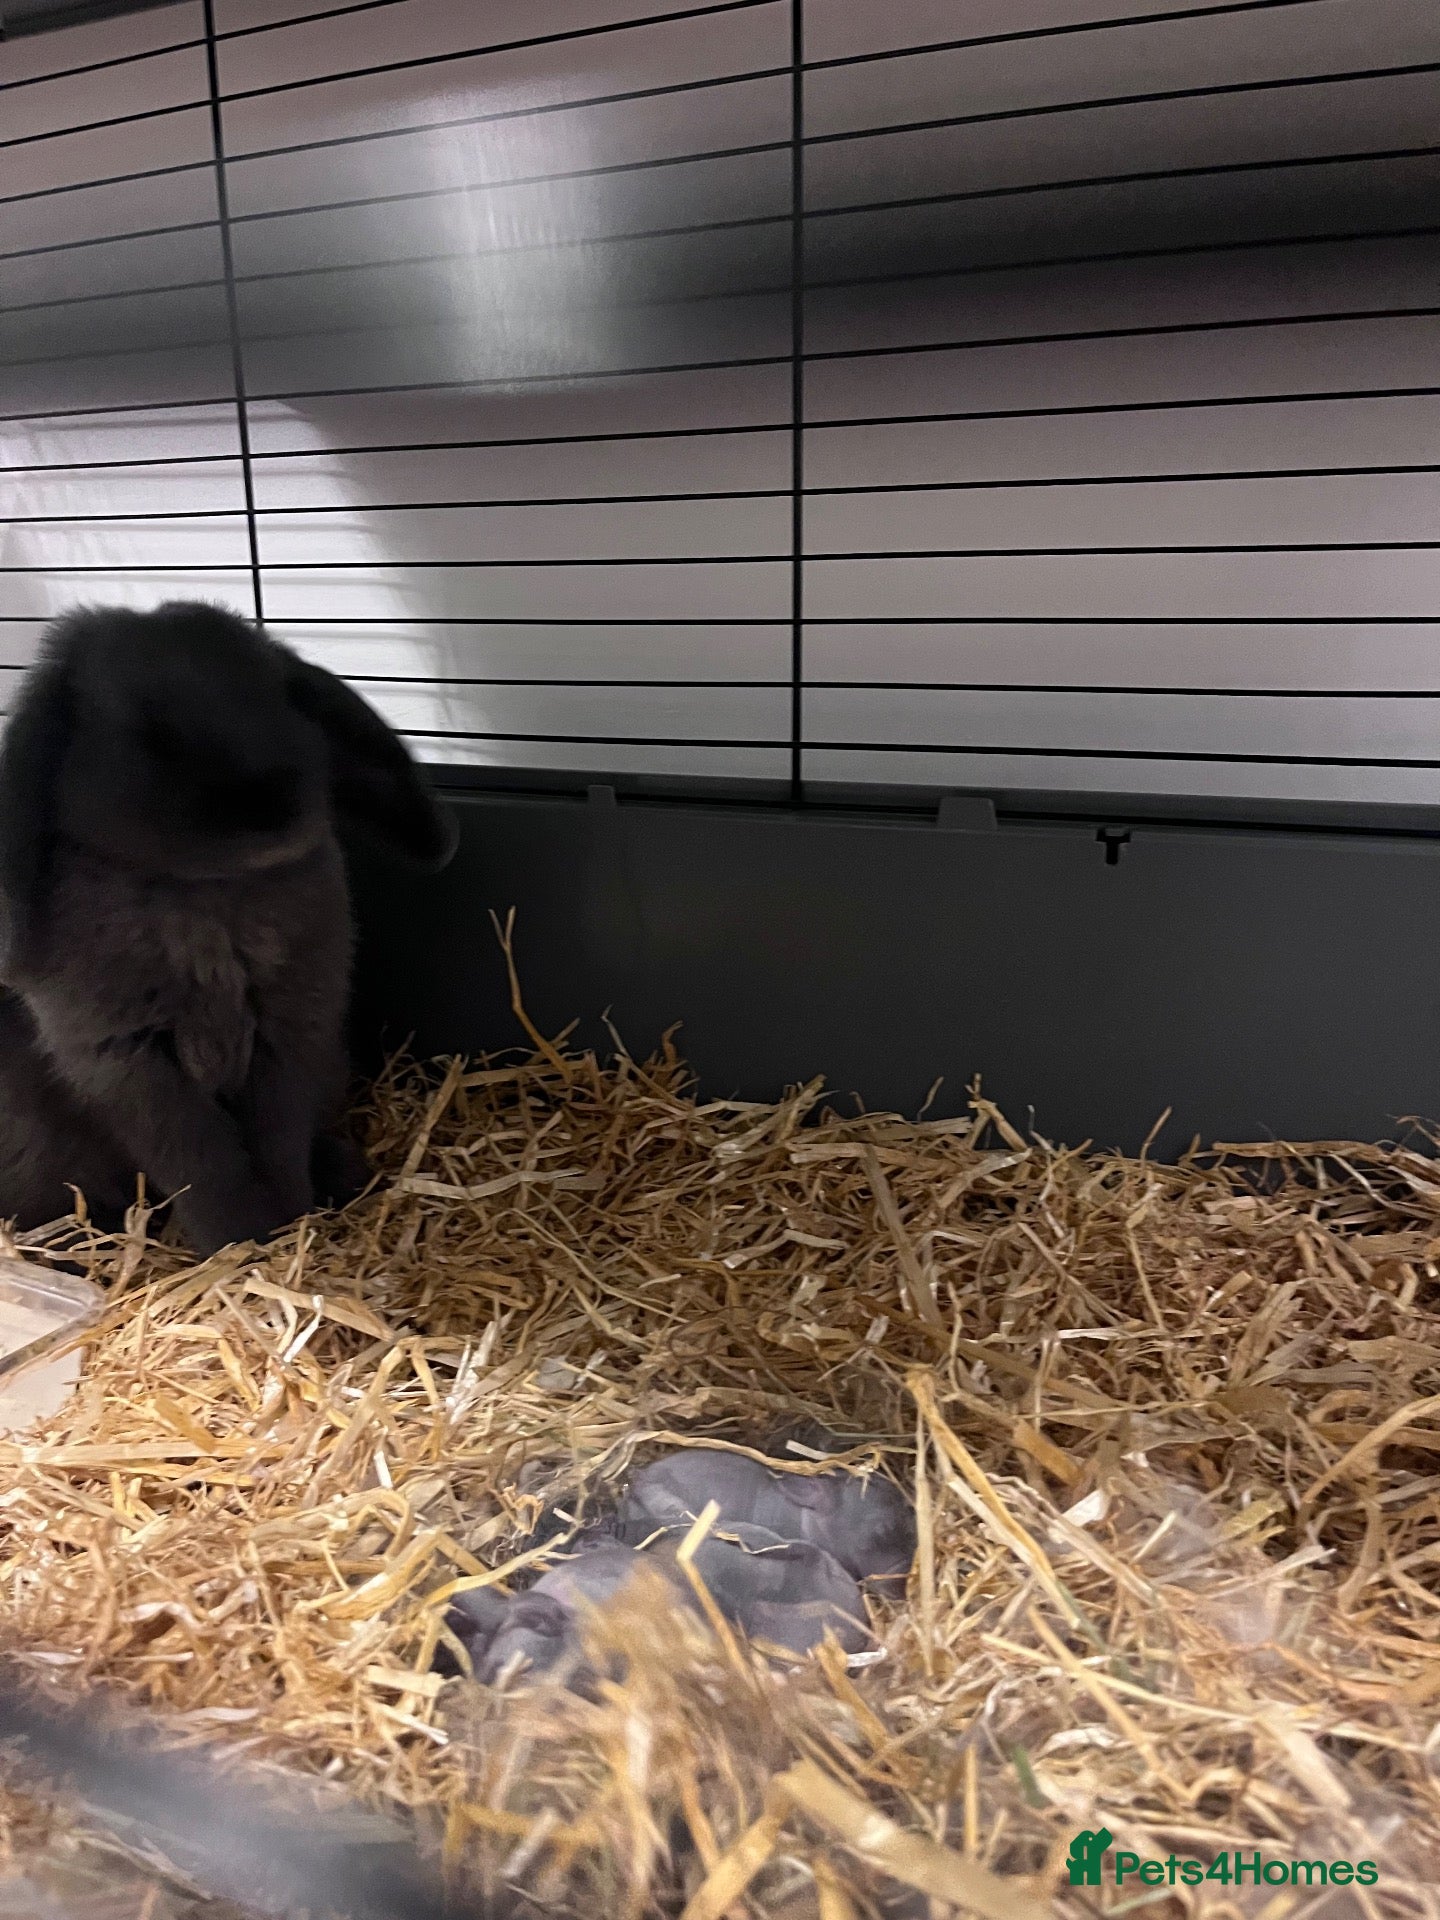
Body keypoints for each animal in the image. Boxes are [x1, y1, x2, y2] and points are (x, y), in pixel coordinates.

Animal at [0, 600, 457, 1258]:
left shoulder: (289, 1037)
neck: (208, 891)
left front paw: (288, 1226)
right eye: (144, 729)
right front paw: (238, 1245)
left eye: (284, 697)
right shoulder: (134, 1064)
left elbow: (276, 1141)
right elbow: (203, 1162)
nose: (271, 807)